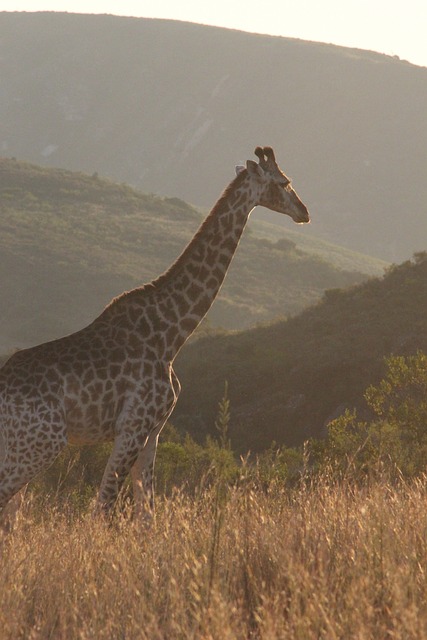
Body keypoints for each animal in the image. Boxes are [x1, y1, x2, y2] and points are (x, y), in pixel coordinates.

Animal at [0, 146, 310, 520]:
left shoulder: (153, 433)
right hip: (41, 444)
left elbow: (148, 512)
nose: (304, 212)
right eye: (284, 182)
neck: (172, 333)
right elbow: (103, 508)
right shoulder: (132, 428)